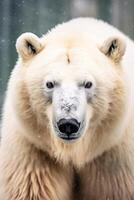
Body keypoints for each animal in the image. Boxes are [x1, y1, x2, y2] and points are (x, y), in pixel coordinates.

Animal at [0, 18, 134, 199]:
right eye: (49, 83)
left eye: (88, 83)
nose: (68, 124)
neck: (74, 151)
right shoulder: (33, 151)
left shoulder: (115, 157)